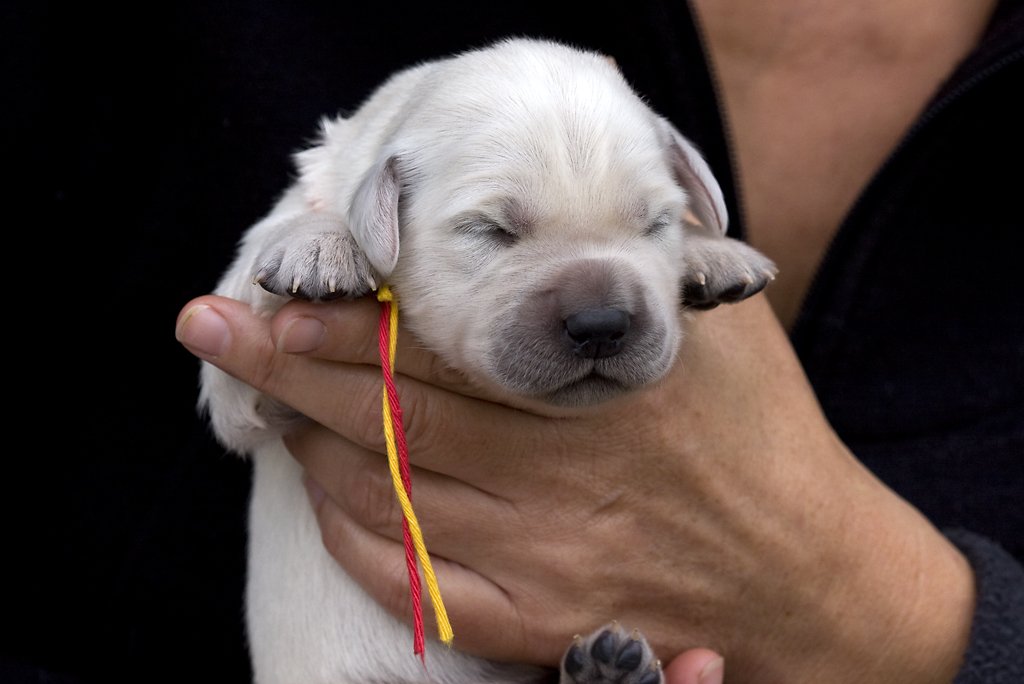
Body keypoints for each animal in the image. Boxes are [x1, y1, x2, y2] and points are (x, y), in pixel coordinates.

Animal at [197, 37, 774, 684]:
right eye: (489, 230)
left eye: (656, 224)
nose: (601, 325)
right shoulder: (243, 379)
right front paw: (321, 243)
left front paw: (714, 254)